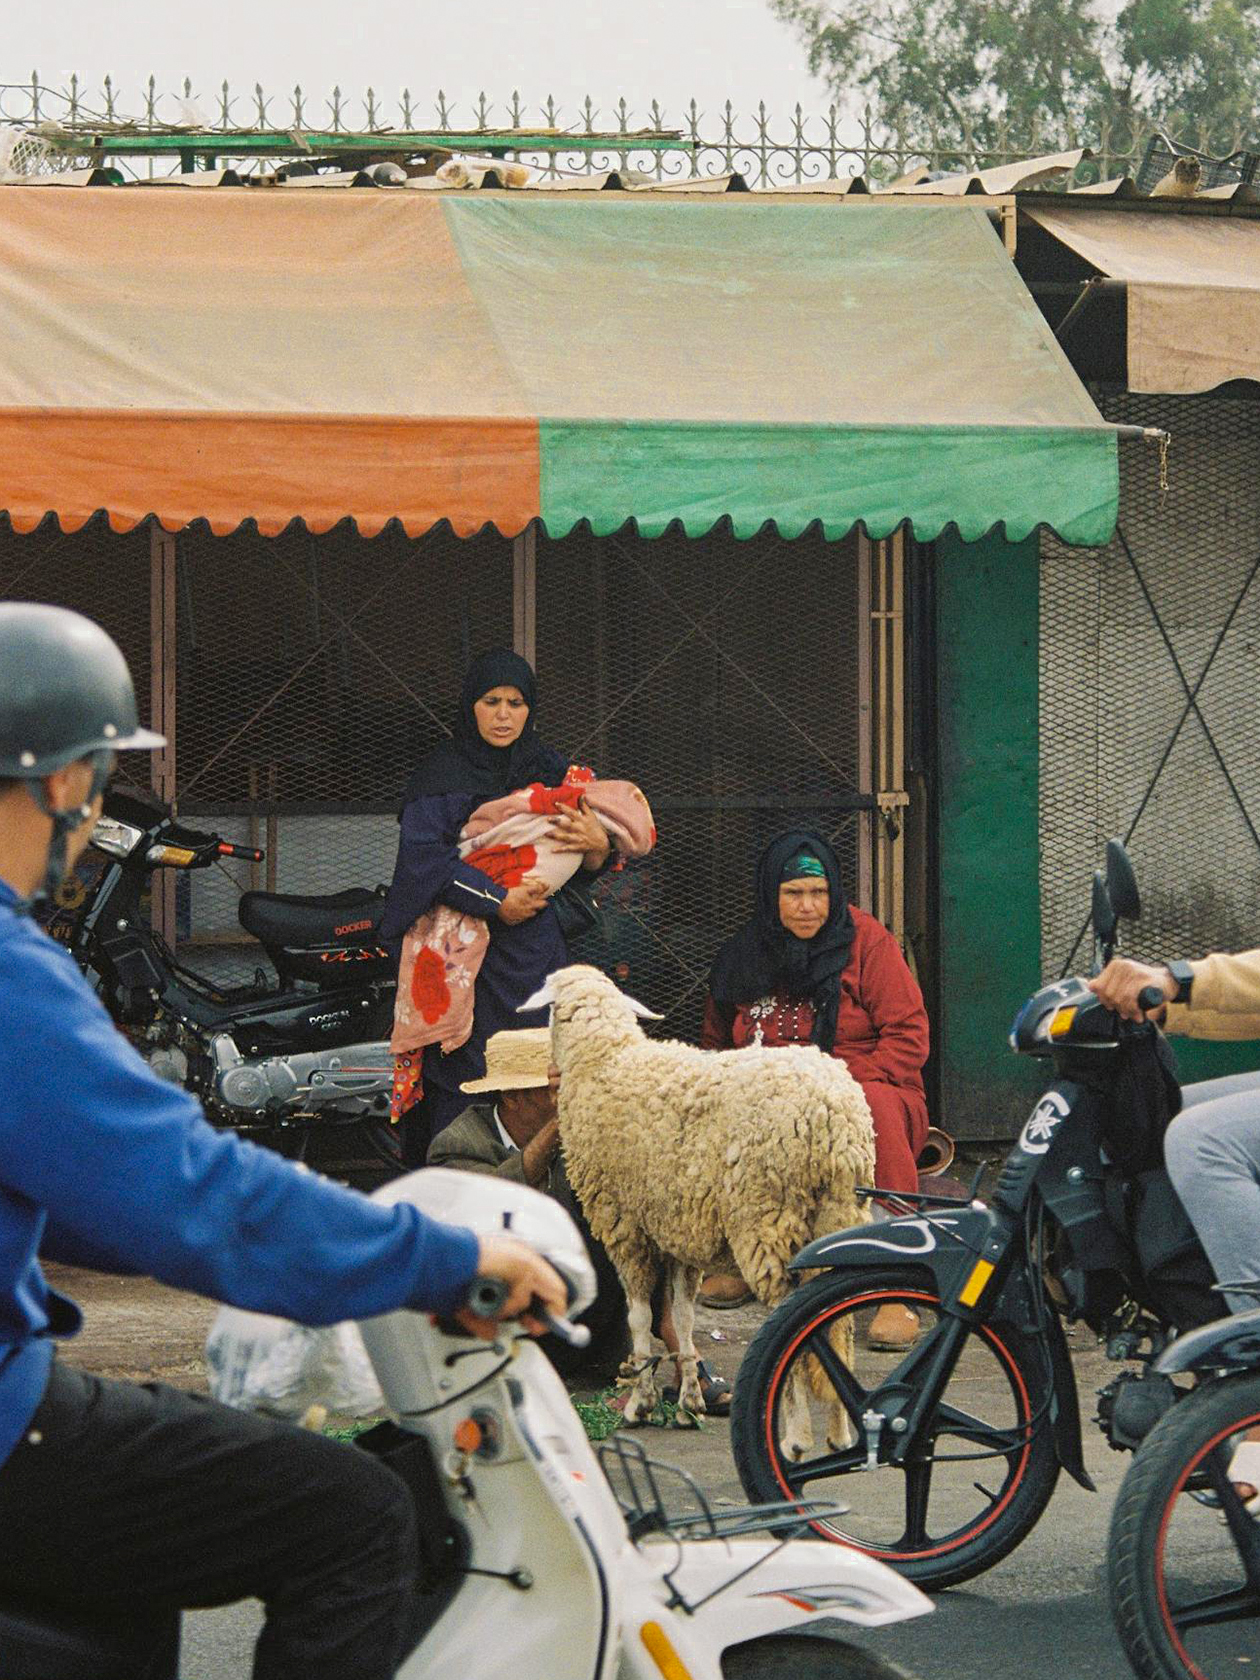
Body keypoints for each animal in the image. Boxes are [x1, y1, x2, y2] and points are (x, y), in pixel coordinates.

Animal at [517, 960, 873, 1444]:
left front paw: (640, 1403)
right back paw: (839, 1432)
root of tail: (834, 1119)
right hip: (839, 1211)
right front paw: (689, 1402)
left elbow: (639, 1317)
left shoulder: (625, 1226)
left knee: (798, 1325)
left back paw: (796, 1436)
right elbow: (683, 1318)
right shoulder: (678, 1229)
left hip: (768, 1217)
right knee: (838, 1324)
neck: (606, 1061)